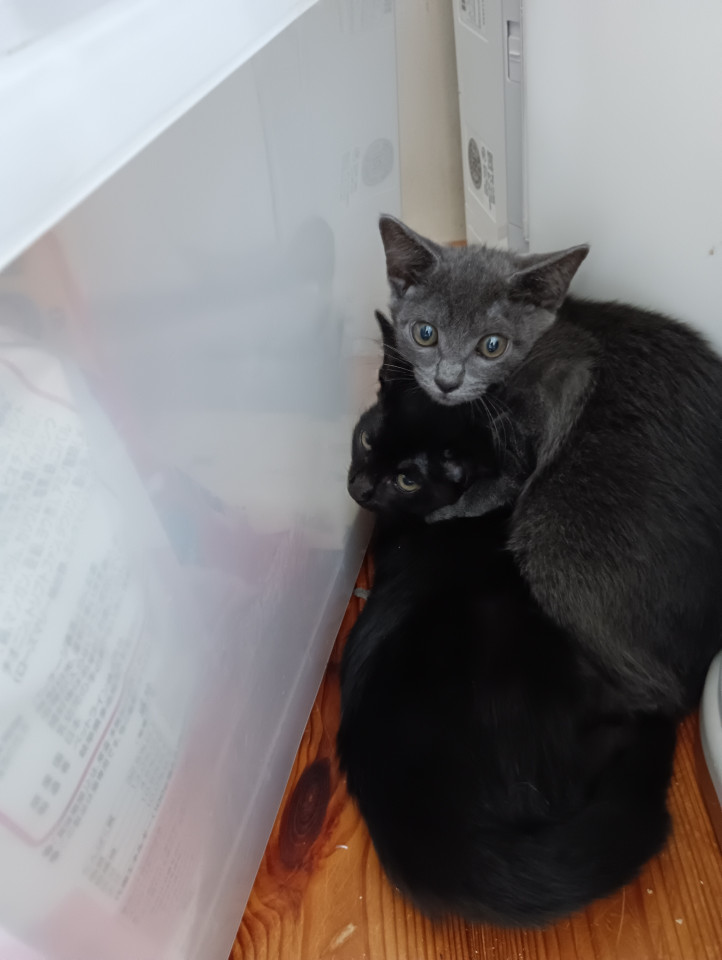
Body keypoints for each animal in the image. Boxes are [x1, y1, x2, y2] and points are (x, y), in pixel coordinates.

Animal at [377, 214, 722, 715]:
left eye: (493, 345)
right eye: (425, 333)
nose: (447, 381)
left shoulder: (564, 382)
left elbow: (500, 483)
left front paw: (442, 512)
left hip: (548, 531)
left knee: (659, 691)